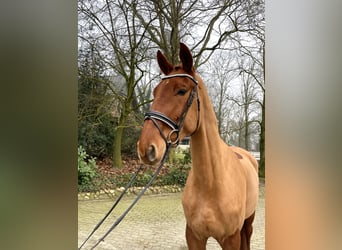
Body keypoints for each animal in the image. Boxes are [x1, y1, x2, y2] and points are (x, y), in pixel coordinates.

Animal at [138, 43, 258, 250]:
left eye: (181, 91)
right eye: (155, 92)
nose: (146, 148)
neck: (210, 184)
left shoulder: (231, 239)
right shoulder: (194, 236)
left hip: (249, 220)